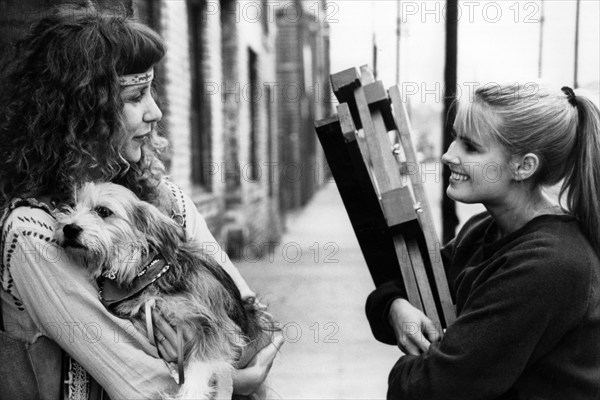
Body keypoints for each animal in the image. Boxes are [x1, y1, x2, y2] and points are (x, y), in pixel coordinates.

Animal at [55, 182, 270, 400]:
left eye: (103, 211)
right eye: (72, 206)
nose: (69, 228)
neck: (145, 271)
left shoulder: (217, 325)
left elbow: (199, 365)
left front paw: (189, 393)